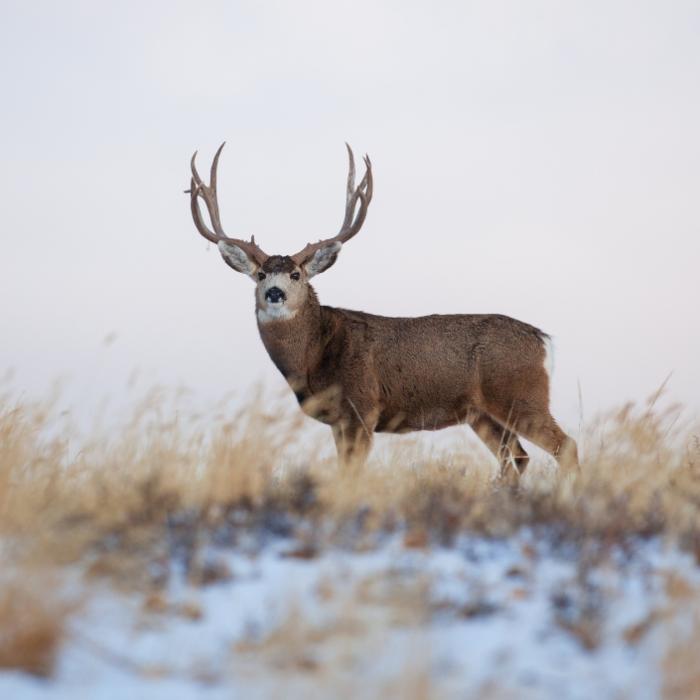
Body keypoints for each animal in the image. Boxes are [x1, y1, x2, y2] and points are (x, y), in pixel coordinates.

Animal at [186, 143, 579, 478]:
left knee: (565, 447)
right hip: (482, 413)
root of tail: (544, 340)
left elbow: (350, 475)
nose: (274, 293)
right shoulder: (340, 421)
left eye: (296, 274)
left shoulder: (362, 408)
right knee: (517, 459)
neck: (315, 356)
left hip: (521, 394)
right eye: (261, 274)